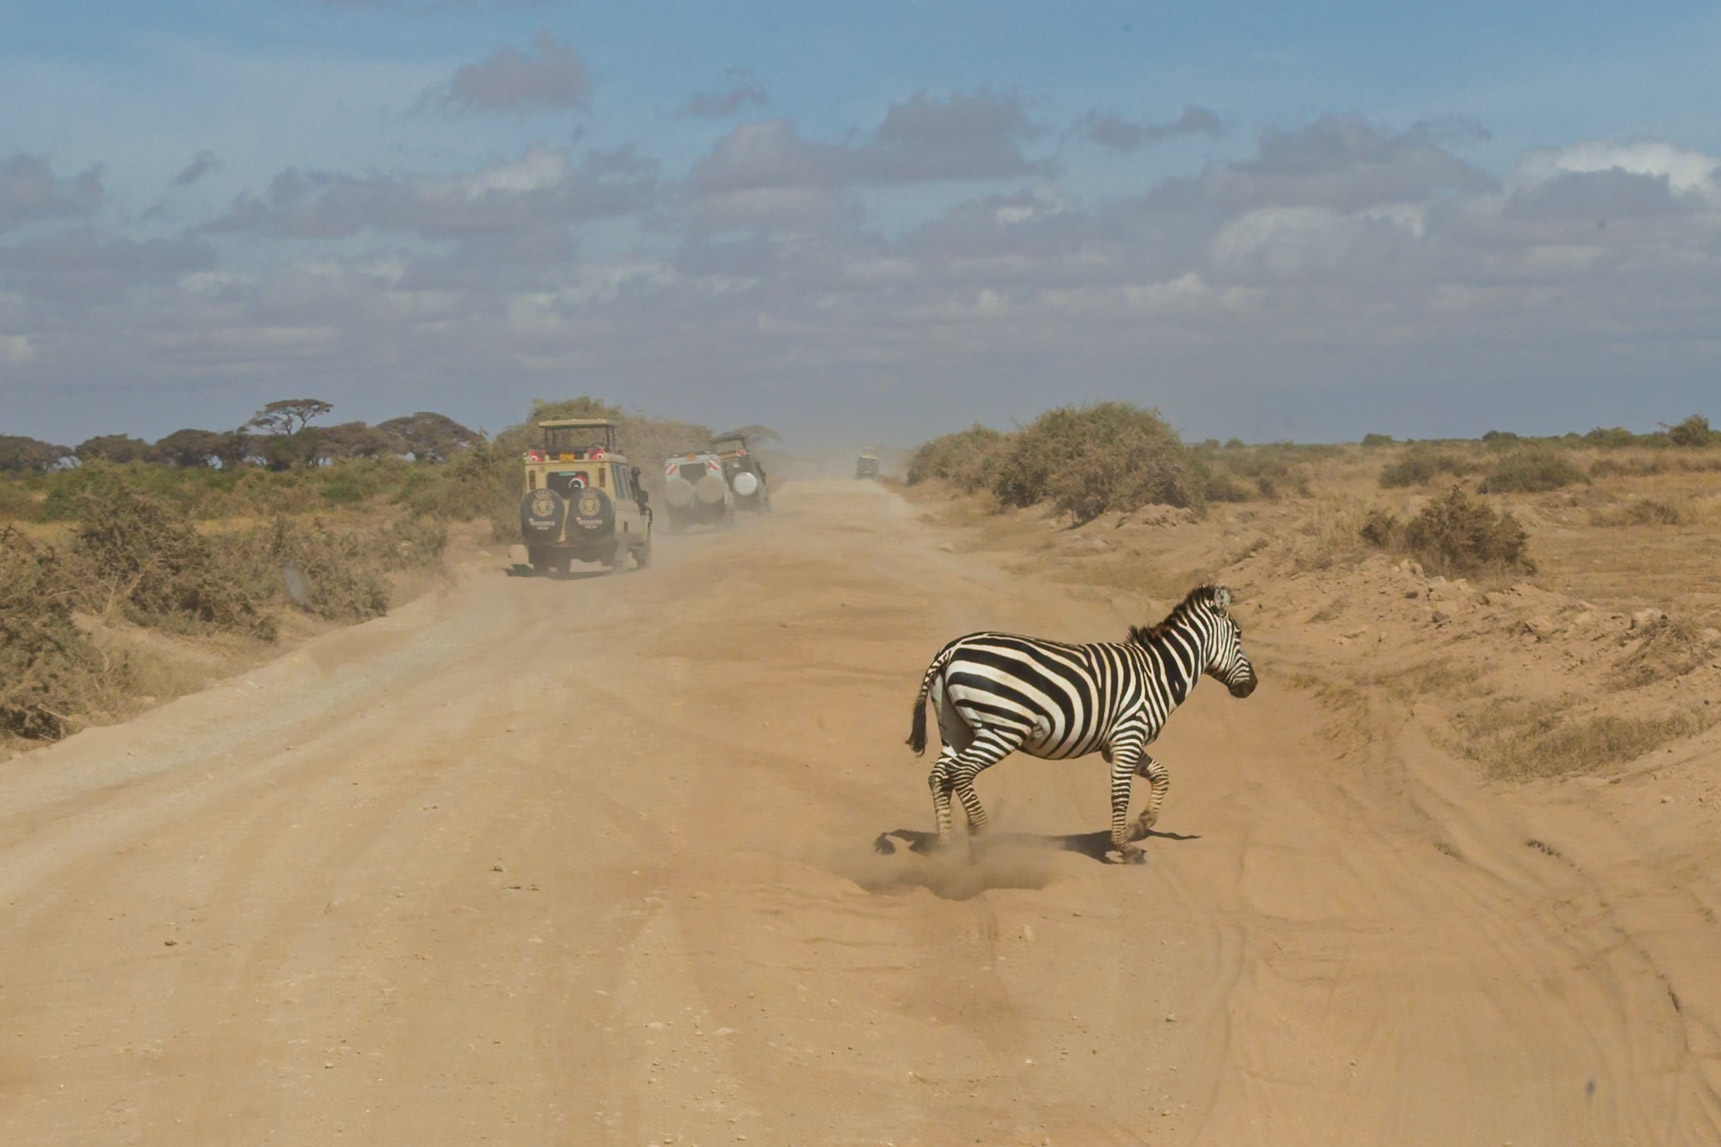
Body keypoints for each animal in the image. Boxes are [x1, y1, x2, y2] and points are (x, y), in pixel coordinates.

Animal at [907, 585, 1257, 863]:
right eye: (1239, 636)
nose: (1252, 686)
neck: (1159, 672)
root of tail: (952, 650)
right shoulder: (1128, 736)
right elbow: (1121, 793)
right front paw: (1125, 847)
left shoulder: (1119, 741)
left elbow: (1162, 775)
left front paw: (1142, 823)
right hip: (1002, 728)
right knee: (961, 772)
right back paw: (982, 831)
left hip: (956, 728)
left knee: (939, 776)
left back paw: (946, 847)